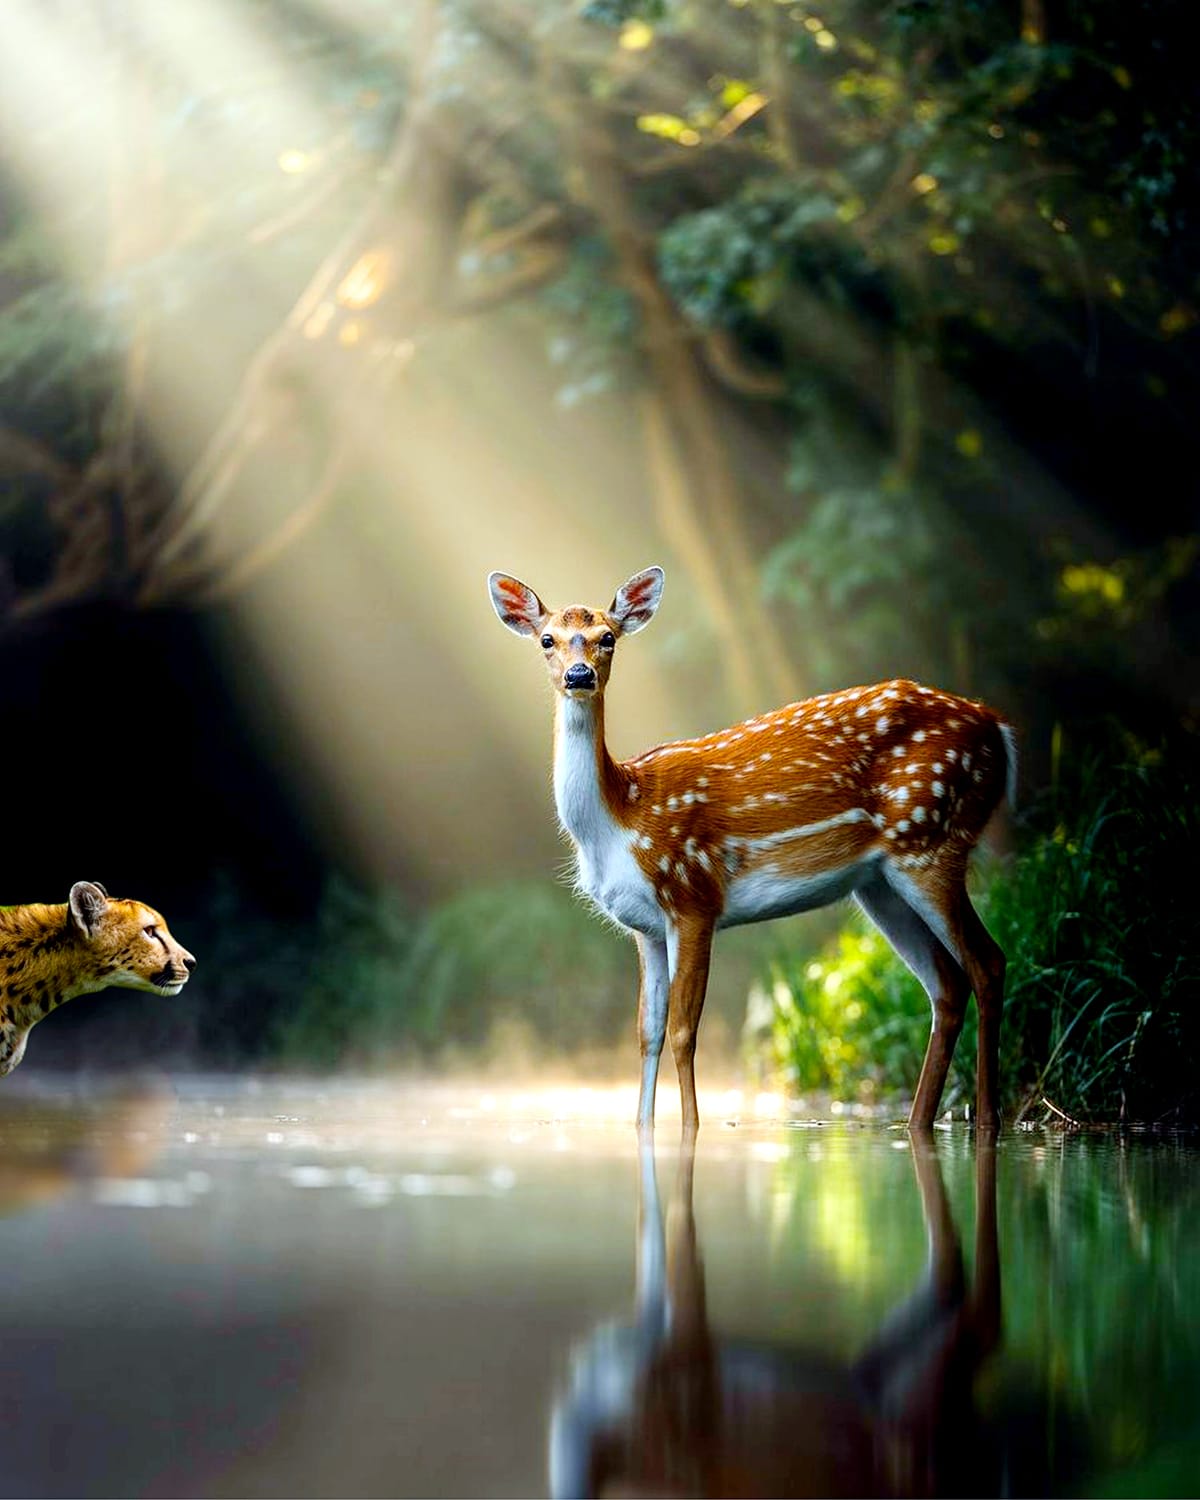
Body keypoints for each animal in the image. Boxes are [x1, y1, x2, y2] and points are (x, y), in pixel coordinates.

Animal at [488, 566, 1015, 1135]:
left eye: (608, 637)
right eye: (547, 640)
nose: (579, 675)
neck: (619, 819)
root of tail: (999, 729)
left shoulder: (693, 894)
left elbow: (684, 1031)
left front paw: (692, 1129)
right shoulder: (642, 927)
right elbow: (647, 1033)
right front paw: (643, 1127)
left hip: (930, 839)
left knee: (988, 963)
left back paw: (989, 1119)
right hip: (880, 884)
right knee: (946, 985)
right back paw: (918, 1123)